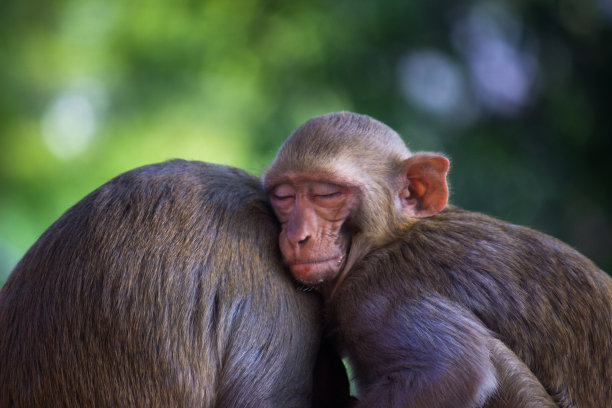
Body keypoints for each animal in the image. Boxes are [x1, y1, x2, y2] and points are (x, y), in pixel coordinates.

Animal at [262, 111, 612, 408]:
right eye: (283, 196)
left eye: (326, 194)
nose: (297, 236)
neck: (382, 243)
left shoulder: (375, 296)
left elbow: (454, 372)